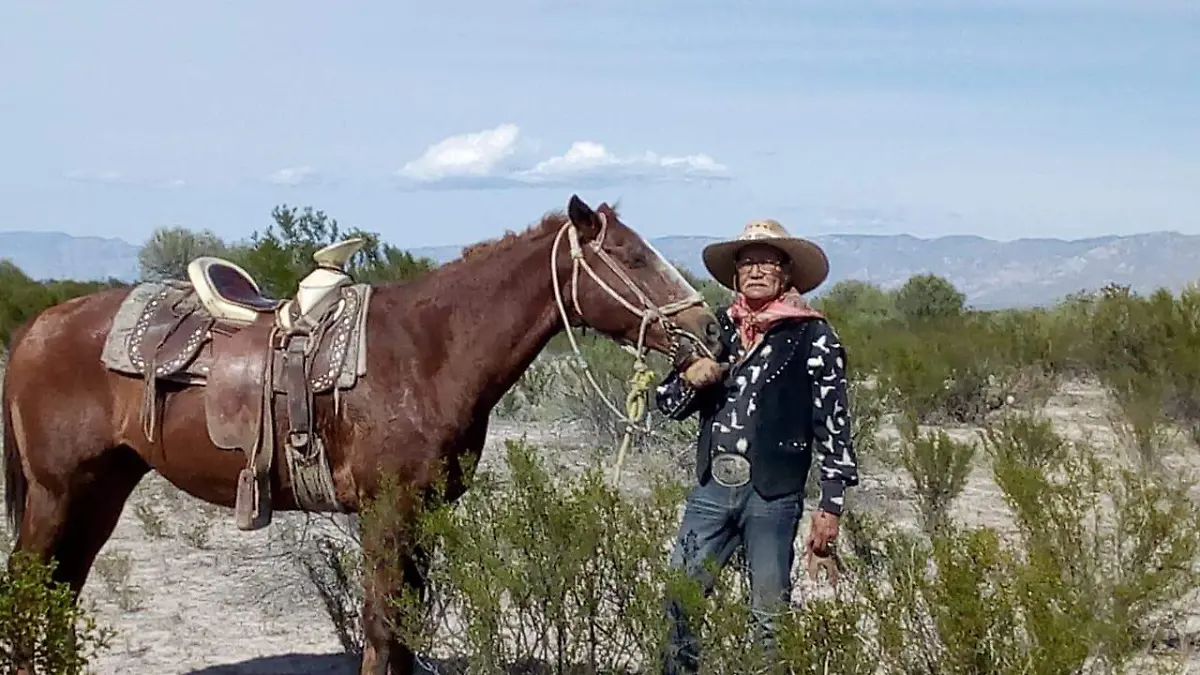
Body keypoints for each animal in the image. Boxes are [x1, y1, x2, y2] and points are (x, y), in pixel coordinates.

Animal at [2, 194, 720, 672]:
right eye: (629, 255)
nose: (710, 326)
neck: (428, 350)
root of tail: (36, 328)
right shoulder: (387, 508)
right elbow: (380, 623)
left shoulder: (422, 512)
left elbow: (404, 623)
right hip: (56, 491)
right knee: (31, 588)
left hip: (104, 487)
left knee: (61, 591)